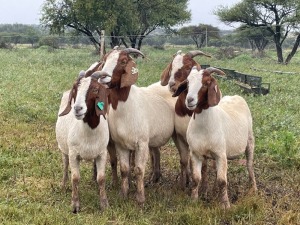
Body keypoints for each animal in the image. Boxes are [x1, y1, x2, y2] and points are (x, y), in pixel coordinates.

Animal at [55, 72, 110, 213]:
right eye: (76, 90)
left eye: (95, 89)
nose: (77, 108)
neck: (89, 133)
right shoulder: (73, 153)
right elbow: (75, 178)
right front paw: (75, 205)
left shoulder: (102, 153)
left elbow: (101, 178)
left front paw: (104, 204)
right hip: (64, 149)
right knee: (65, 166)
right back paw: (63, 186)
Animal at [92, 47, 175, 206]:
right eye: (104, 60)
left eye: (123, 61)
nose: (102, 77)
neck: (126, 107)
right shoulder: (121, 144)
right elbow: (125, 170)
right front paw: (123, 194)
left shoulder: (141, 143)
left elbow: (139, 170)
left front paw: (140, 199)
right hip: (153, 138)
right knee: (156, 152)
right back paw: (155, 178)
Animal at [173, 67, 258, 209]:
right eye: (188, 82)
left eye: (206, 83)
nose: (190, 100)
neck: (204, 127)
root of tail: (235, 96)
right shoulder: (196, 153)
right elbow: (197, 178)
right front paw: (194, 200)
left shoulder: (220, 154)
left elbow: (222, 181)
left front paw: (225, 205)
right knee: (215, 169)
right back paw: (213, 191)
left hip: (250, 141)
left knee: (249, 165)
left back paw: (254, 189)